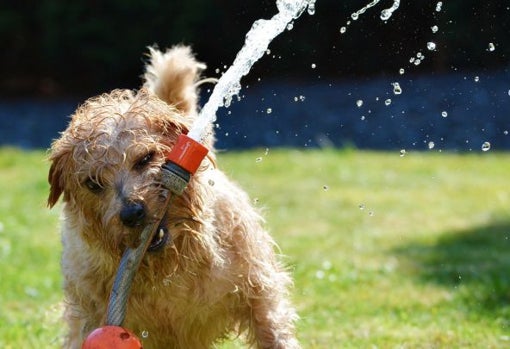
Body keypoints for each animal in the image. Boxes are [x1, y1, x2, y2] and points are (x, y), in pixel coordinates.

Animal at [47, 44, 298, 346]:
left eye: (145, 158)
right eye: (93, 183)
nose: (132, 213)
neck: (169, 266)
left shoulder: (258, 292)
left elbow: (272, 330)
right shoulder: (89, 314)